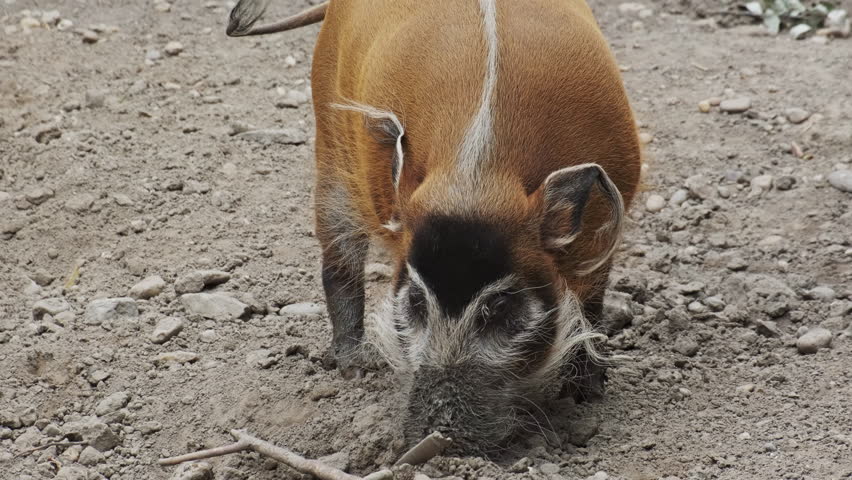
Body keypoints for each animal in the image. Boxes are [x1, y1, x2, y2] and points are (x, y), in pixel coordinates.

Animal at [227, 0, 641, 454]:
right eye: (415, 301)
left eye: (500, 306)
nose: (438, 439)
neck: (475, 178)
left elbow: (591, 303)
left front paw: (587, 393)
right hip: (331, 147)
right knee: (338, 259)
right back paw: (353, 367)